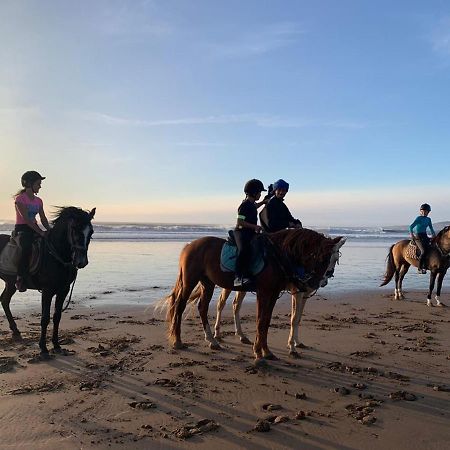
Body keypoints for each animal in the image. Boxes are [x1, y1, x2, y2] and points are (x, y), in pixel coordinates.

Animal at [163, 229, 346, 362]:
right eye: (322, 257)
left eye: (335, 260)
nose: (316, 283)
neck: (279, 257)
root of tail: (189, 245)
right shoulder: (266, 293)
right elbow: (265, 320)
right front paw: (262, 352)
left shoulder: (274, 293)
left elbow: (267, 321)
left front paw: (267, 351)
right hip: (191, 280)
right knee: (182, 305)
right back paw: (180, 341)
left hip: (207, 282)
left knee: (204, 307)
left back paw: (213, 340)